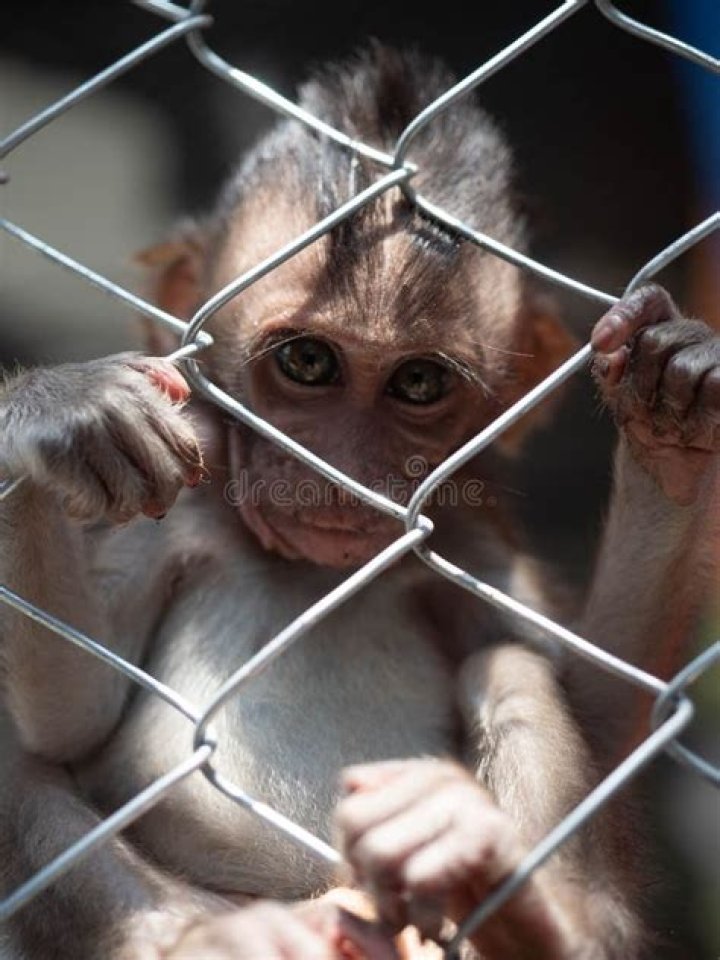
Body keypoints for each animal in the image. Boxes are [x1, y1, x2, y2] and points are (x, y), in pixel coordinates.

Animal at [1, 44, 718, 960]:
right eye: (308, 363)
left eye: (417, 383)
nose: (343, 469)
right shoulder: (170, 518)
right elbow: (69, 721)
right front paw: (57, 413)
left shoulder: (468, 544)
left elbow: (606, 707)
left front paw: (673, 416)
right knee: (21, 770)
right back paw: (221, 937)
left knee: (512, 670)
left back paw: (530, 915)